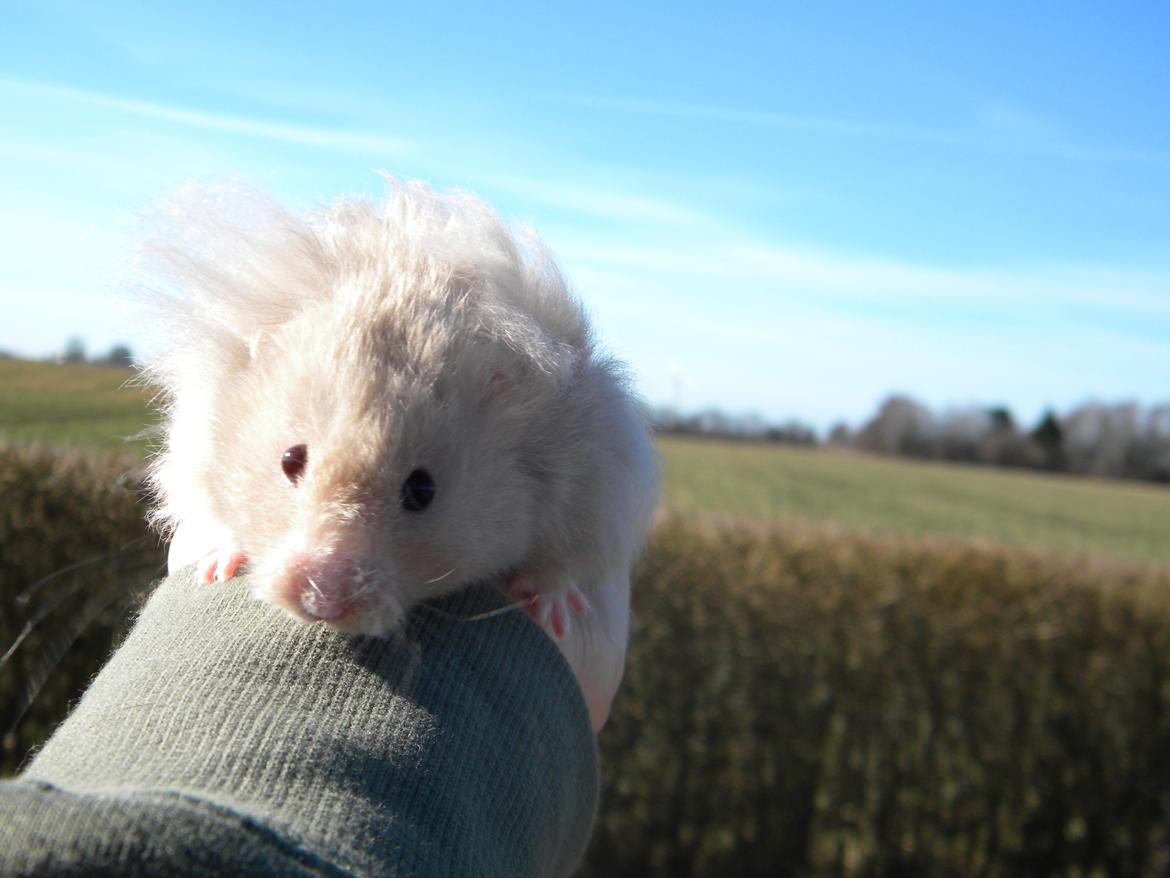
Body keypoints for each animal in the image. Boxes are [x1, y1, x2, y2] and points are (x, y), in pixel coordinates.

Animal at [138, 178, 659, 714]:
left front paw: (552, 611)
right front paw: (216, 565)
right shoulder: (196, 441)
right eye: (289, 460)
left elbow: (560, 565)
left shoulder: (593, 484)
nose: (319, 602)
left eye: (423, 490)